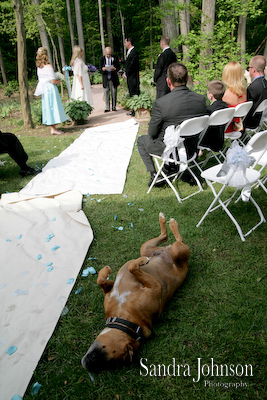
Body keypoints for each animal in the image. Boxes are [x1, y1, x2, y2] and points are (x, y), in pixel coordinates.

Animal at [81, 212, 191, 372]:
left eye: (105, 353)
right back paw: (167, 221)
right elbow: (107, 279)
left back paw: (170, 223)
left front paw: (108, 269)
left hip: (165, 249)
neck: (124, 318)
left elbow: (122, 271)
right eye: (107, 361)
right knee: (168, 237)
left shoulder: (154, 286)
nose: (88, 363)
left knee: (177, 239)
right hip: (156, 248)